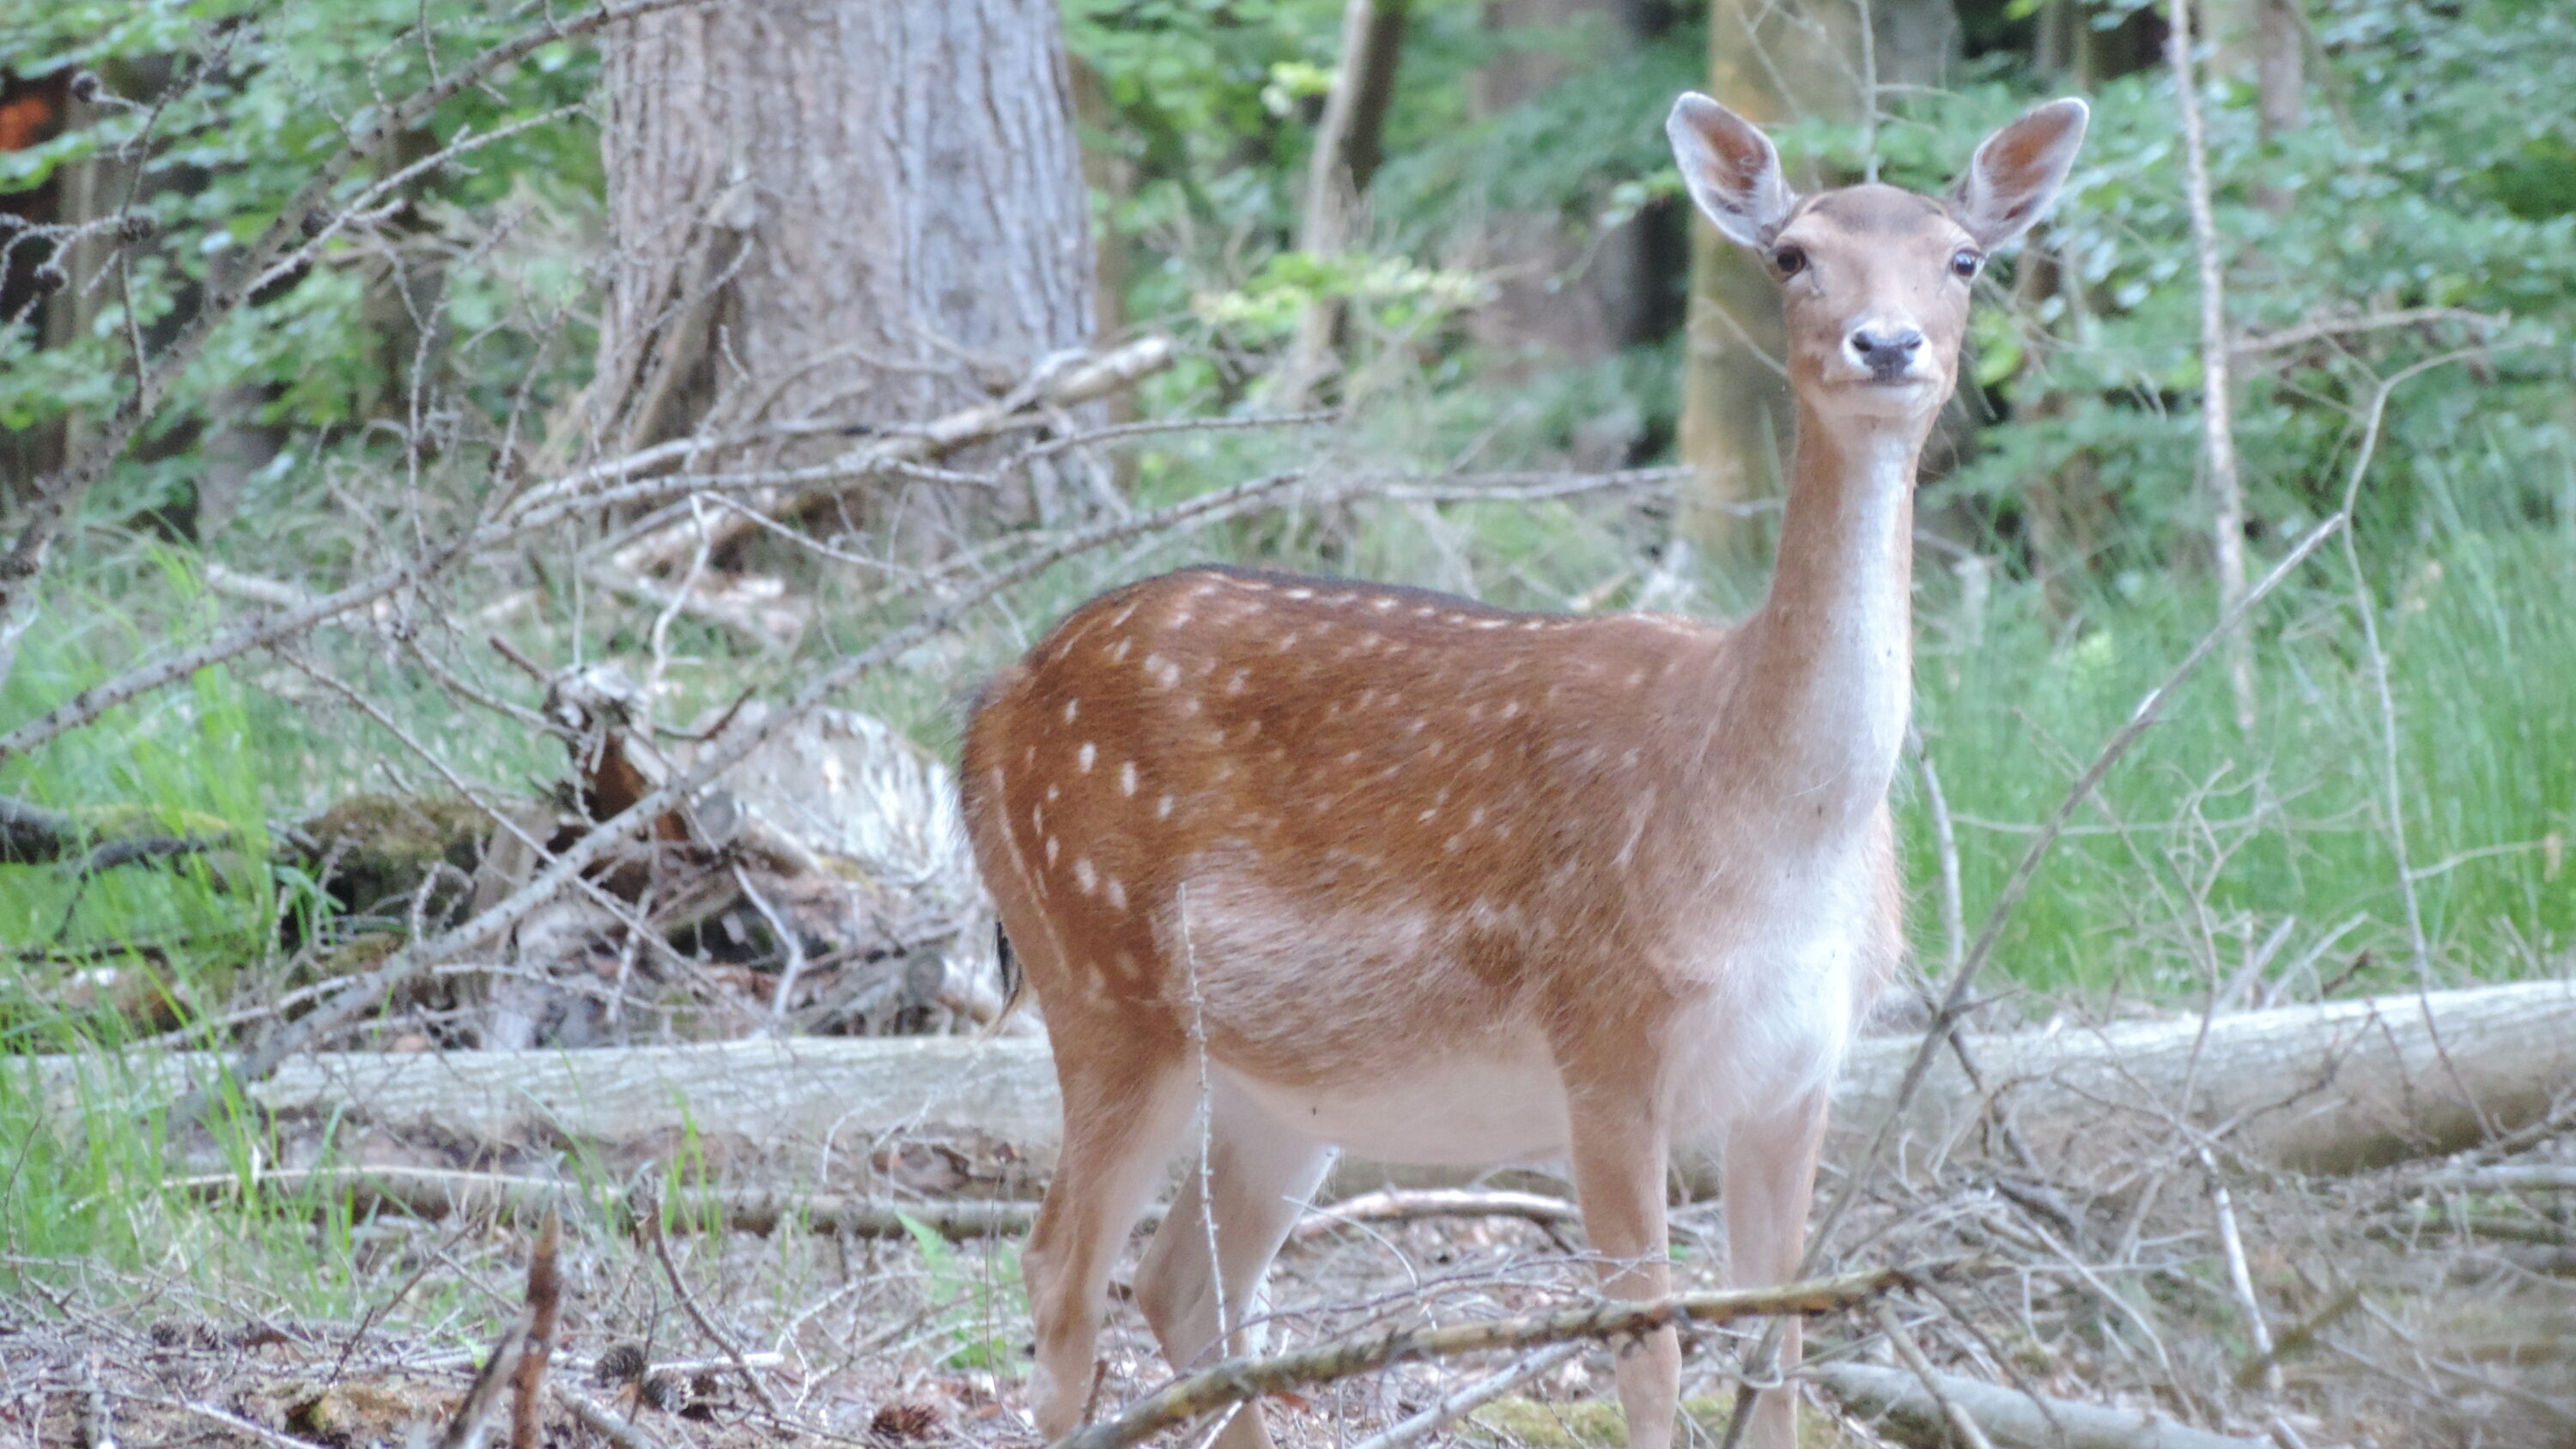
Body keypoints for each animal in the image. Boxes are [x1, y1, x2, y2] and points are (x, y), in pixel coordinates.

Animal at [960, 92, 2088, 1449]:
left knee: (1182, 1278)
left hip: (1280, 1085)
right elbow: (1651, 1349)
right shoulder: (1604, 1036)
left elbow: (1781, 1346)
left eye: (1963, 257)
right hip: (1102, 977)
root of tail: (986, 714)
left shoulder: (1803, 1067)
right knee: (1058, 1271)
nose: (1886, 342)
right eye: (1792, 255)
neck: (1777, 835)